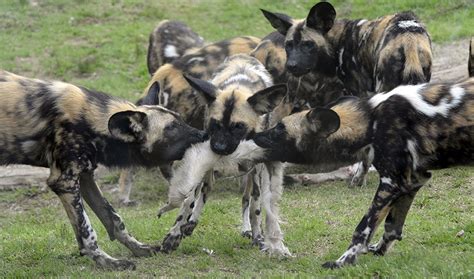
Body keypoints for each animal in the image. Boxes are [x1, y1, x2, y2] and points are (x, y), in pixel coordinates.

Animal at [0, 70, 207, 272]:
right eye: (171, 128)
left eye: (181, 120)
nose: (205, 134)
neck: (90, 120)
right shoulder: (64, 181)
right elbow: (86, 232)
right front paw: (108, 263)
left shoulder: (85, 177)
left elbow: (114, 219)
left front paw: (139, 249)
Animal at [159, 53, 292, 258]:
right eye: (215, 124)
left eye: (238, 127)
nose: (219, 147)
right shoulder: (204, 160)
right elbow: (189, 200)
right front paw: (175, 234)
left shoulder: (255, 168)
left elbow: (255, 207)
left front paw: (259, 237)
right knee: (205, 190)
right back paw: (191, 222)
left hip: (252, 171)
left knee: (247, 199)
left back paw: (250, 229)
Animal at [254, 78, 474, 270]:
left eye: (280, 129)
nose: (254, 135)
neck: (370, 122)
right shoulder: (413, 180)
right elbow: (392, 227)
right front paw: (379, 251)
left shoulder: (391, 183)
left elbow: (362, 228)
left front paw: (344, 261)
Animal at [262, 1, 432, 97]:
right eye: (288, 45)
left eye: (308, 44)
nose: (291, 65)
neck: (336, 43)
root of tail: (408, 38)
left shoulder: (359, 92)